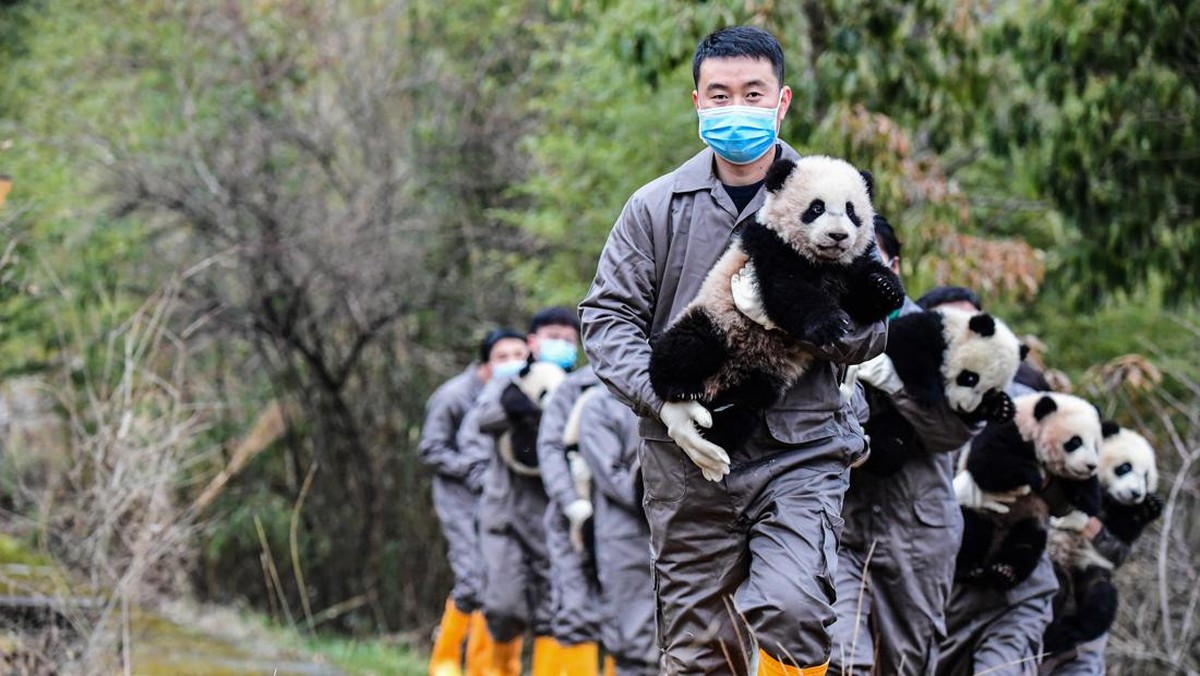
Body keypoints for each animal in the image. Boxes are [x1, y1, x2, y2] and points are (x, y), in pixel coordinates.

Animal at [648, 155, 905, 451]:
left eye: (851, 211)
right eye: (817, 207)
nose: (838, 236)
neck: (822, 262)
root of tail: (714, 386)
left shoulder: (848, 268)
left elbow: (862, 302)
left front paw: (886, 287)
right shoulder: (768, 247)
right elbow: (787, 290)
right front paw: (828, 324)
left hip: (763, 377)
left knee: (742, 411)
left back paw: (715, 428)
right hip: (718, 319)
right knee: (689, 345)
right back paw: (679, 388)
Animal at [859, 307, 1025, 476]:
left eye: (989, 391)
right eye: (971, 378)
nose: (963, 407)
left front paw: (1002, 407)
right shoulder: (927, 330)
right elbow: (905, 346)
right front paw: (925, 392)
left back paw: (883, 451)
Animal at [954, 392, 1103, 590]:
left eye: (1096, 446)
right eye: (1076, 441)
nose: (1091, 465)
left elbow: (1088, 494)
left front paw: (1085, 499)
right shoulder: (1008, 431)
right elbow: (986, 462)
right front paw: (1034, 476)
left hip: (1030, 518)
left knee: (1025, 546)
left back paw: (1004, 572)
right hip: (982, 511)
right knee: (971, 532)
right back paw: (969, 569)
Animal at [1043, 423, 1163, 656]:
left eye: (1146, 477)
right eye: (1125, 467)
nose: (1136, 493)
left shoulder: (1116, 520)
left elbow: (1122, 536)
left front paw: (1149, 507)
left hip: (1090, 571)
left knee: (1100, 600)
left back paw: (1068, 632)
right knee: (1055, 585)